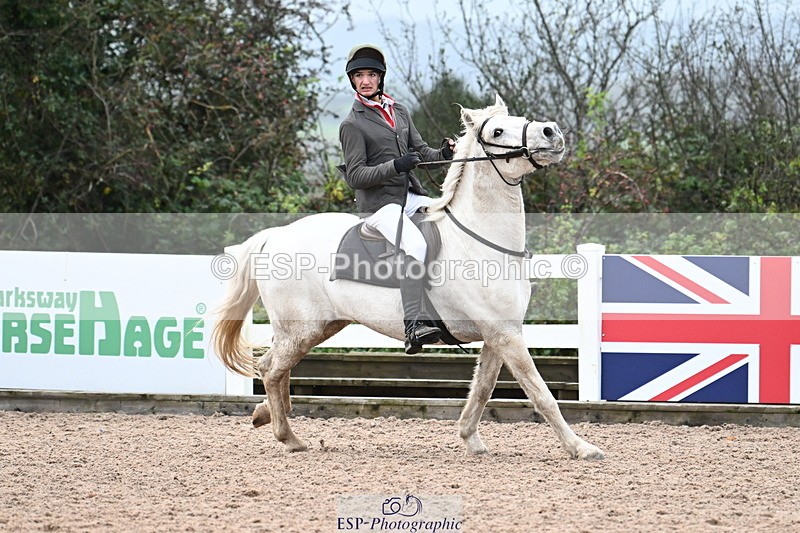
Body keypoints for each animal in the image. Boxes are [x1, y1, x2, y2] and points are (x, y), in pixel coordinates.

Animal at [212, 95, 605, 460]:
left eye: (521, 119)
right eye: (496, 131)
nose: (551, 132)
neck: (479, 239)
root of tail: (275, 235)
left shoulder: (499, 334)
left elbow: (482, 388)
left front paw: (470, 438)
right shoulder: (505, 335)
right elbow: (541, 393)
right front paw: (582, 448)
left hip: (319, 327)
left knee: (275, 369)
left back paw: (266, 415)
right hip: (302, 328)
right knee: (271, 368)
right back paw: (288, 437)